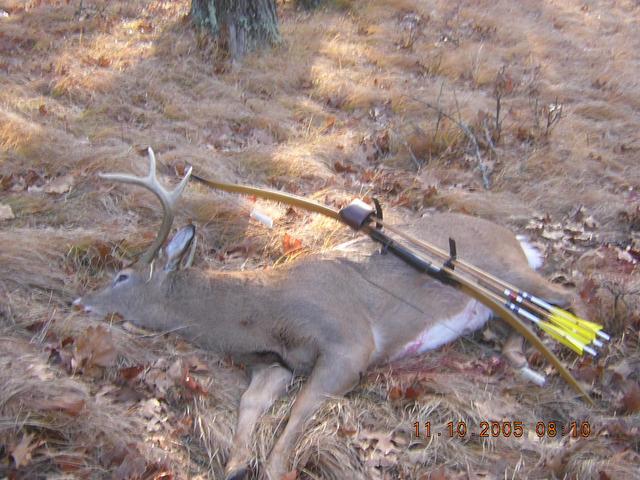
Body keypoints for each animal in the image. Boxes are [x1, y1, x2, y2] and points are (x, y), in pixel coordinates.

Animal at [74, 148, 583, 480]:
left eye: (121, 276)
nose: (80, 301)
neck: (267, 316)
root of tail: (519, 241)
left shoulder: (349, 341)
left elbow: (296, 418)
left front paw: (269, 466)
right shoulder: (274, 364)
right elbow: (249, 404)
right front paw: (237, 464)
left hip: (511, 272)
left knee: (564, 296)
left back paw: (540, 362)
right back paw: (519, 358)